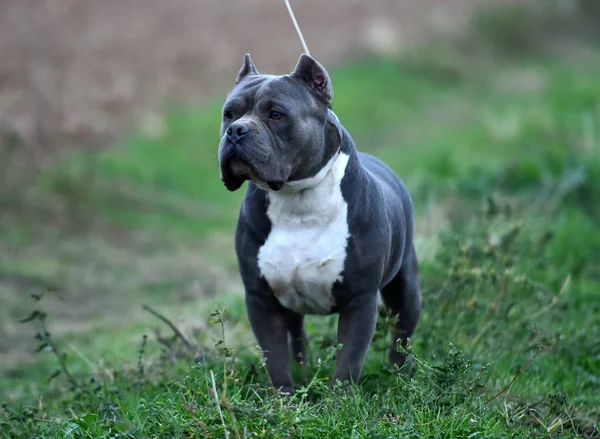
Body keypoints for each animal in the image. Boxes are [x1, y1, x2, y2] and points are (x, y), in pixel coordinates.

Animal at [217, 53, 422, 394]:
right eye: (228, 113)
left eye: (276, 114)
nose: (235, 131)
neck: (296, 198)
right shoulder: (261, 299)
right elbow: (275, 356)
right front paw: (283, 397)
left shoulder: (359, 299)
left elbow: (349, 358)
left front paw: (340, 400)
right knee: (297, 337)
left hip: (405, 287)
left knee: (402, 332)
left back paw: (400, 375)